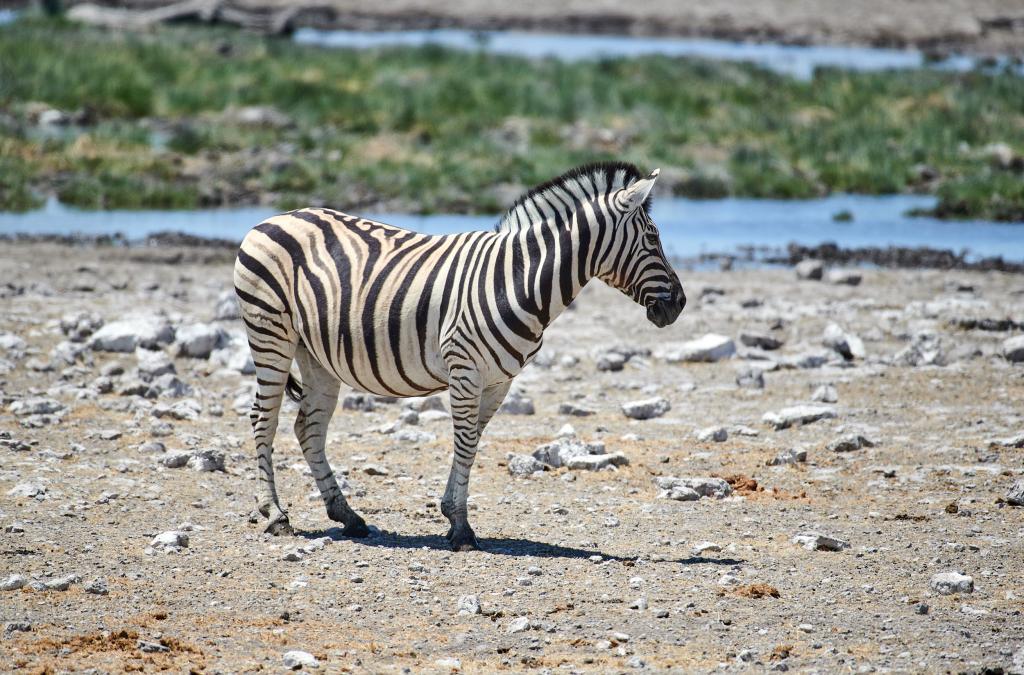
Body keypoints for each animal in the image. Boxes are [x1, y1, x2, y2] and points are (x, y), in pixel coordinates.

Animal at [234, 162, 688, 549]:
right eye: (653, 238)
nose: (680, 305)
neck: (519, 280)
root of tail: (274, 218)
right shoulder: (465, 369)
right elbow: (466, 442)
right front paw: (462, 527)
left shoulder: (499, 380)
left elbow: (473, 443)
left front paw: (453, 517)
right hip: (271, 333)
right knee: (263, 420)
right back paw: (275, 515)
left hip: (315, 353)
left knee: (308, 427)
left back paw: (348, 515)